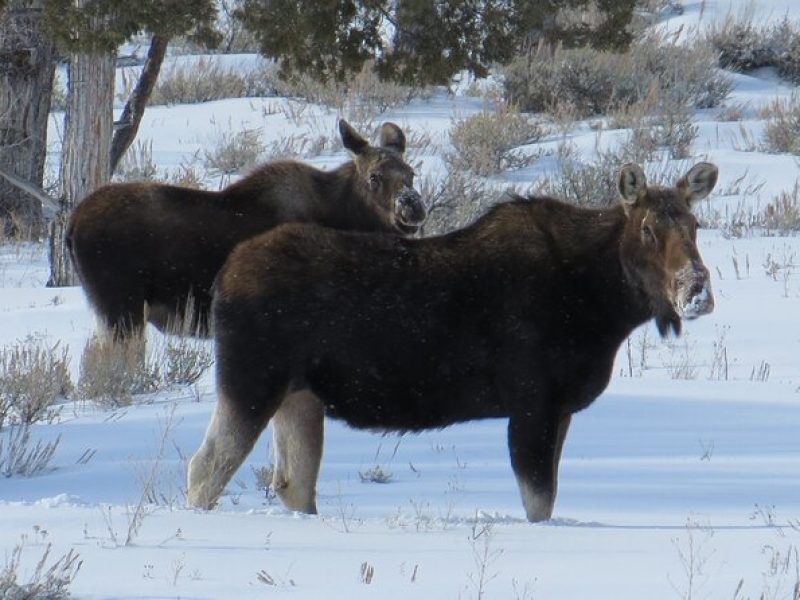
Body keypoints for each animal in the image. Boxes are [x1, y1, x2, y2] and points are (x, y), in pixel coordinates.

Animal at [66, 119, 428, 340]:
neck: (344, 217)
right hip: (121, 307)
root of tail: (71, 226)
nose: (413, 206)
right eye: (374, 177)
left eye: (411, 173)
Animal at [188, 162, 720, 524]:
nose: (697, 290)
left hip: (299, 396)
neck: (602, 304)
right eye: (647, 228)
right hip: (251, 382)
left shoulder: (561, 407)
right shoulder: (534, 404)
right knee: (204, 469)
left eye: (696, 227)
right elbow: (539, 503)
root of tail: (222, 277)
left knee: (292, 485)